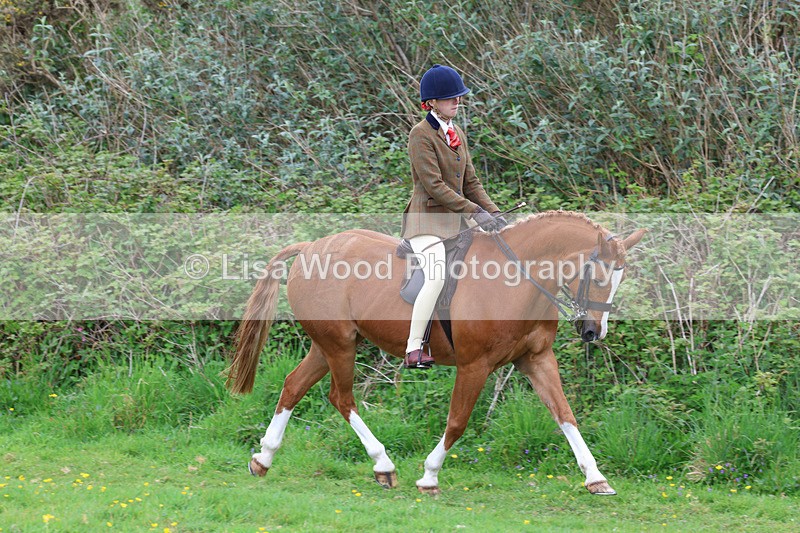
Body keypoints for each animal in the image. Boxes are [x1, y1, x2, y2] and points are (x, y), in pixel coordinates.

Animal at [226, 211, 646, 495]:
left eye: (622, 277)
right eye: (601, 275)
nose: (593, 332)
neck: (515, 280)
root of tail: (311, 247)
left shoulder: (536, 360)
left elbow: (565, 414)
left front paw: (596, 478)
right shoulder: (475, 365)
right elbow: (458, 422)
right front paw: (429, 476)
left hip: (328, 344)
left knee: (293, 386)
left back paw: (263, 459)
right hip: (339, 345)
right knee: (341, 398)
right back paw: (384, 465)